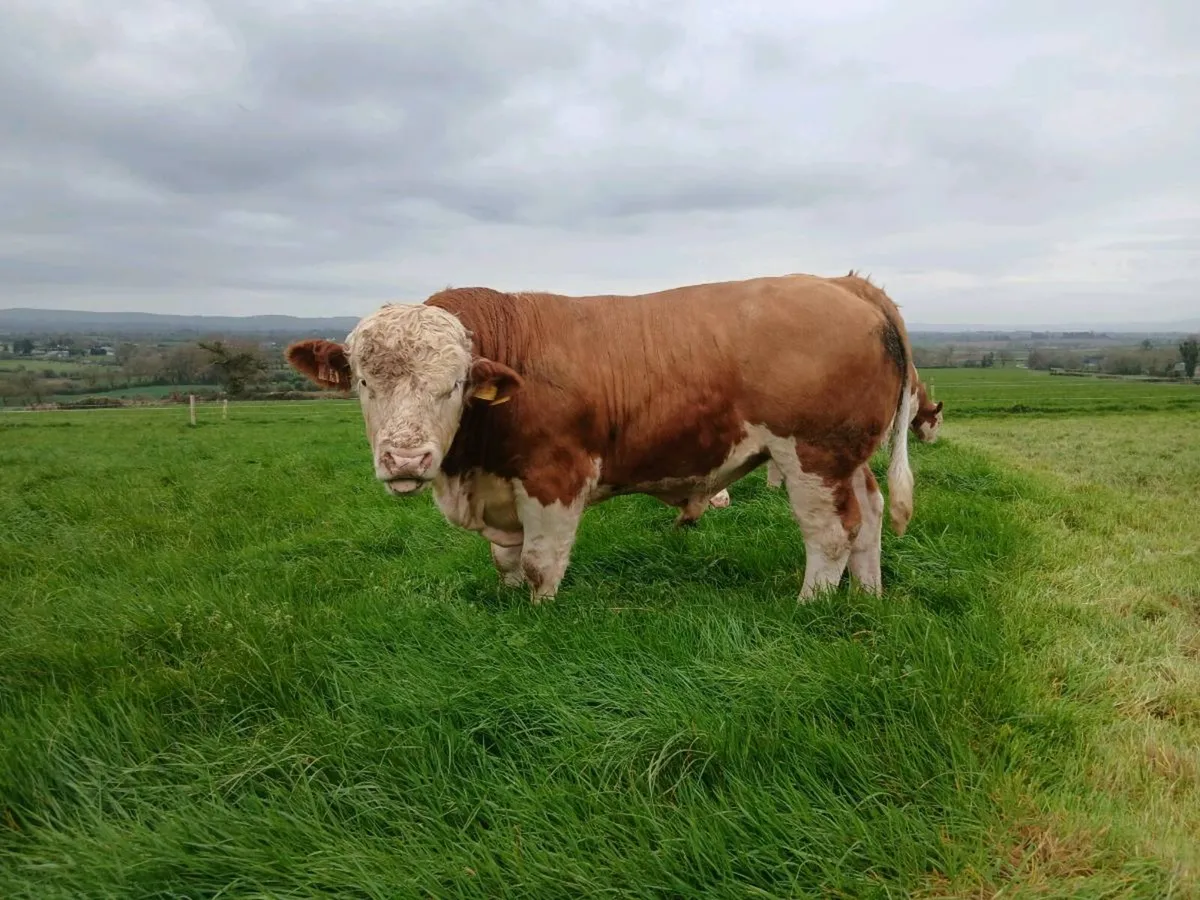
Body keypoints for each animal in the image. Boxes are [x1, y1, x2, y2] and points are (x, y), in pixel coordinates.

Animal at [284, 272, 915, 604]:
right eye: (364, 381)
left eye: (455, 384)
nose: (406, 458)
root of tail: (844, 284)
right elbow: (505, 560)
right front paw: (508, 607)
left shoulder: (554, 477)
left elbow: (539, 563)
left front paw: (537, 616)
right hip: (848, 457)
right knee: (870, 515)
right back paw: (868, 596)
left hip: (812, 454)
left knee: (831, 533)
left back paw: (811, 605)